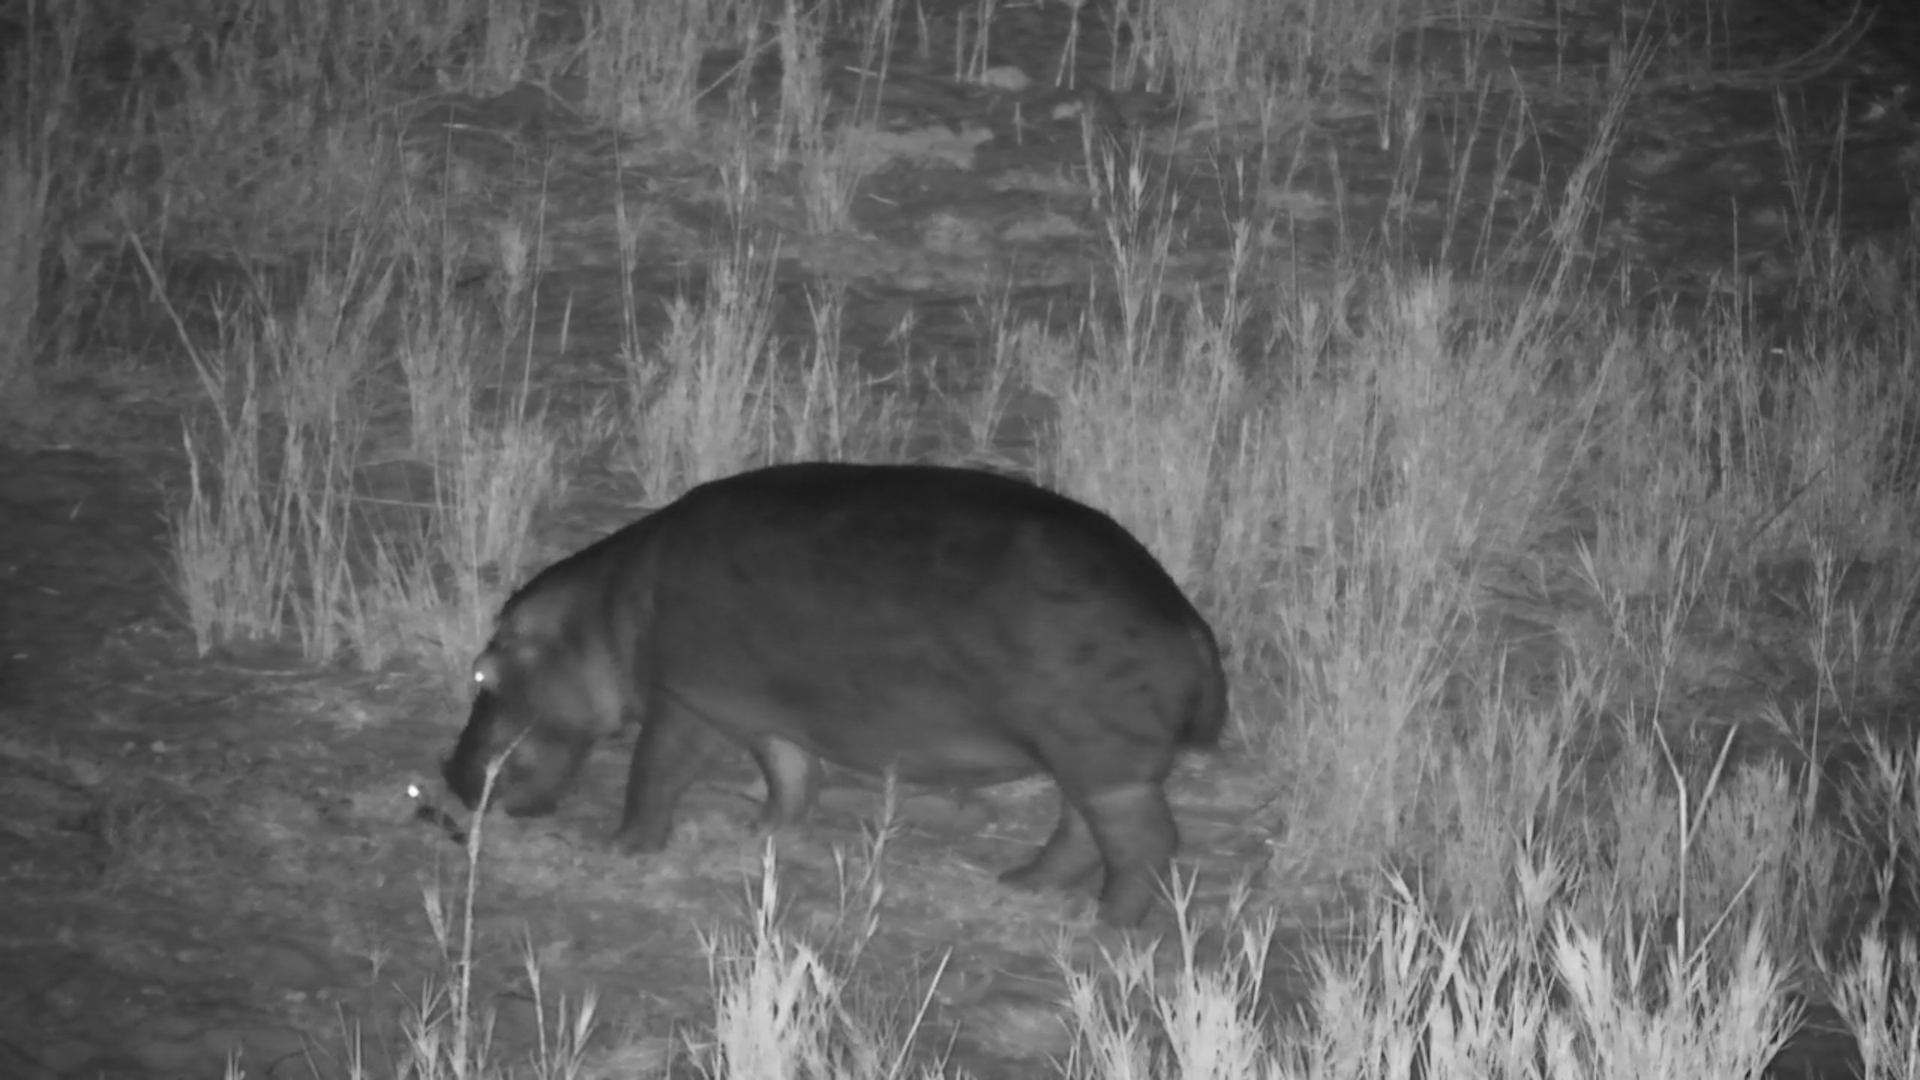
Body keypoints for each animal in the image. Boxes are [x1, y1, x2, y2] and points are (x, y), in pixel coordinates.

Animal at [441, 462, 1227, 926]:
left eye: (481, 673)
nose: (450, 773)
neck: (600, 616)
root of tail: (1189, 622)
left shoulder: (684, 702)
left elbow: (653, 775)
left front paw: (621, 848)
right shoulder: (762, 711)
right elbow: (791, 775)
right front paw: (759, 831)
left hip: (1101, 759)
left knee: (1144, 842)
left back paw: (1108, 924)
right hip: (1080, 757)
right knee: (1079, 831)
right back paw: (1021, 883)